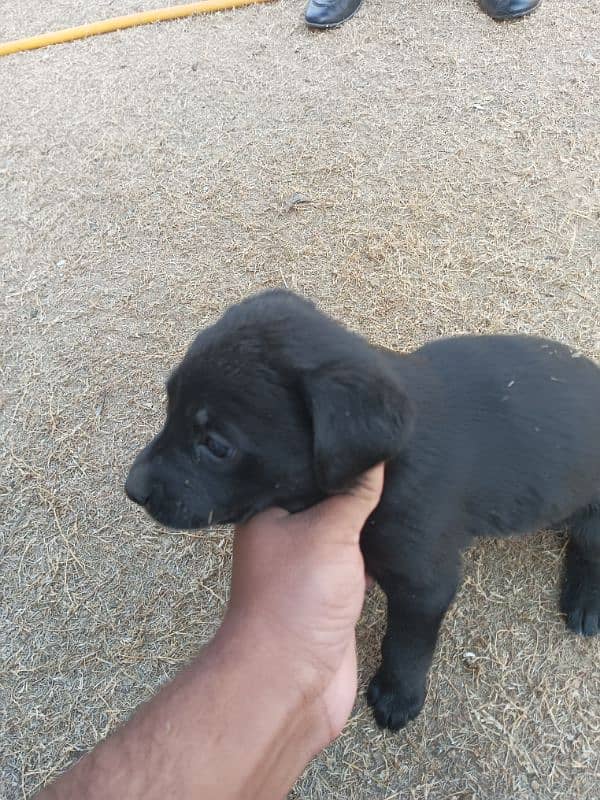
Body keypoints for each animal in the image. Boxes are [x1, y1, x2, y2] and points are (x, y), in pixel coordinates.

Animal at [126, 294, 600, 732]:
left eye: (217, 445)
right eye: (169, 407)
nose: (132, 489)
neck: (394, 463)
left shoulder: (425, 582)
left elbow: (406, 643)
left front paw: (398, 693)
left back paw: (586, 600)